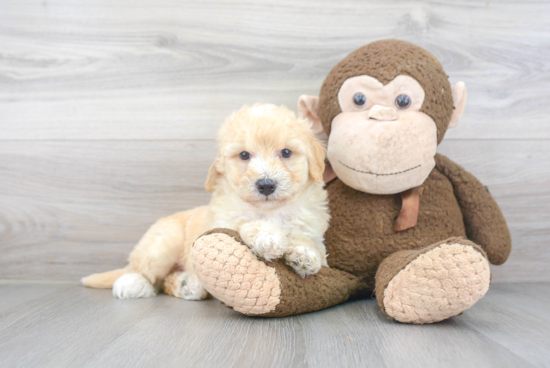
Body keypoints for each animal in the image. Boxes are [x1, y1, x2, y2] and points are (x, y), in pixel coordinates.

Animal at [81, 105, 330, 300]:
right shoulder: (222, 222)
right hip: (162, 246)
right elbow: (244, 224)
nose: (266, 185)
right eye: (244, 155)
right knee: (145, 272)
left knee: (166, 281)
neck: (270, 211)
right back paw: (132, 283)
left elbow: (308, 242)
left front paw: (303, 254)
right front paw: (268, 236)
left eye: (286, 153)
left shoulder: (313, 232)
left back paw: (187, 285)